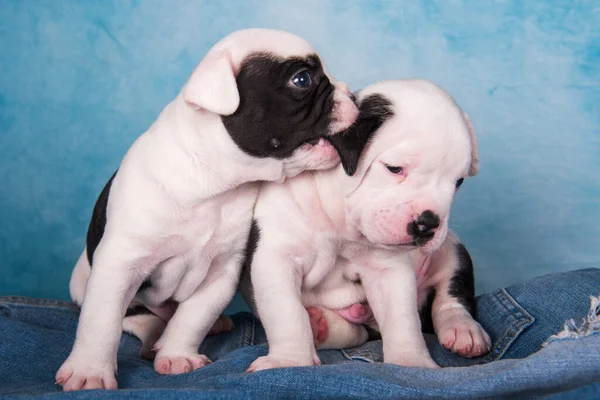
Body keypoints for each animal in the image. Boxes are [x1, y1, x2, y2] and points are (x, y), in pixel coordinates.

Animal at [56, 28, 358, 390]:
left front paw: (177, 354)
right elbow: (102, 321)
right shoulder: (120, 264)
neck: (216, 182)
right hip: (85, 282)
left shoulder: (221, 273)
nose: (353, 94)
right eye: (302, 79)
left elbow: (193, 318)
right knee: (134, 315)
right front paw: (89, 371)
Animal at [241, 79, 490, 372]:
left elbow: (402, 320)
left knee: (451, 295)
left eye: (459, 182)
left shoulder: (388, 269)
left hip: (451, 246)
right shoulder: (277, 257)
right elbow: (287, 314)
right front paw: (289, 361)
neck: (338, 222)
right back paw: (319, 325)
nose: (428, 223)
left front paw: (410, 363)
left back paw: (463, 330)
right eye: (394, 168)